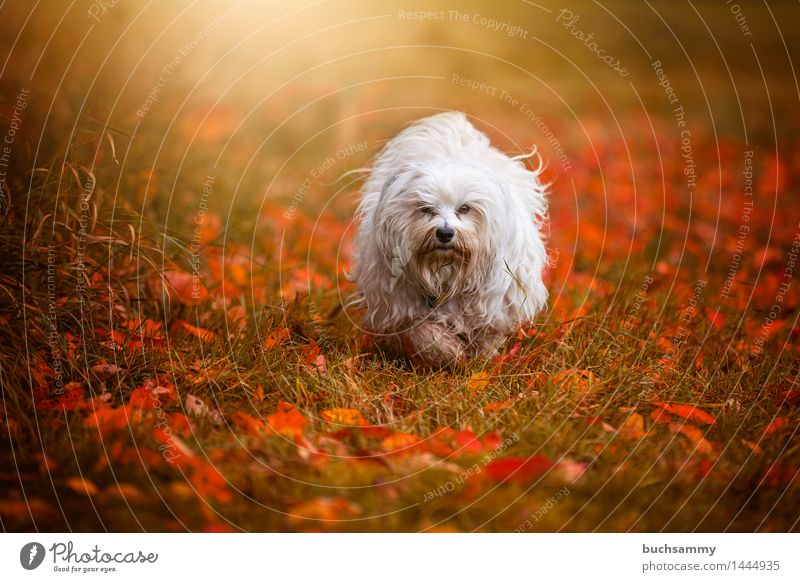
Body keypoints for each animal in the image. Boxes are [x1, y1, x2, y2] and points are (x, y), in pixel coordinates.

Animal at [352, 113, 552, 370]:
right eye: (426, 208)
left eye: (465, 209)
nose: (445, 233)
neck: (447, 273)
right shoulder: (401, 305)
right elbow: (423, 333)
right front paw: (449, 353)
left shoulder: (496, 302)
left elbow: (487, 334)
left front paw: (479, 360)